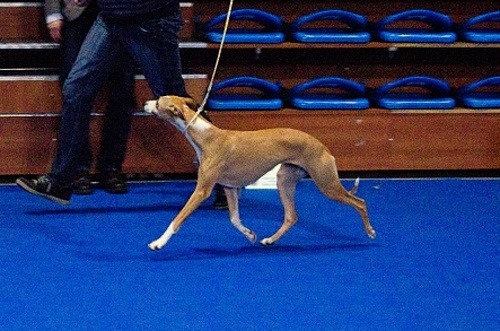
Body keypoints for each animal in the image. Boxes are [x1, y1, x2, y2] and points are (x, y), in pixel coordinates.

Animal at [144, 96, 376, 252]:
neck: (204, 136)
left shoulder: (202, 190)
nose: (145, 103)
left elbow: (177, 219)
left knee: (360, 202)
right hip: (285, 180)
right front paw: (250, 234)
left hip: (326, 184)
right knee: (291, 216)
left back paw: (370, 231)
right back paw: (270, 240)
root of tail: (321, 145)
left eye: (159, 101)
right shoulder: (229, 187)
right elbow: (234, 219)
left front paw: (158, 242)